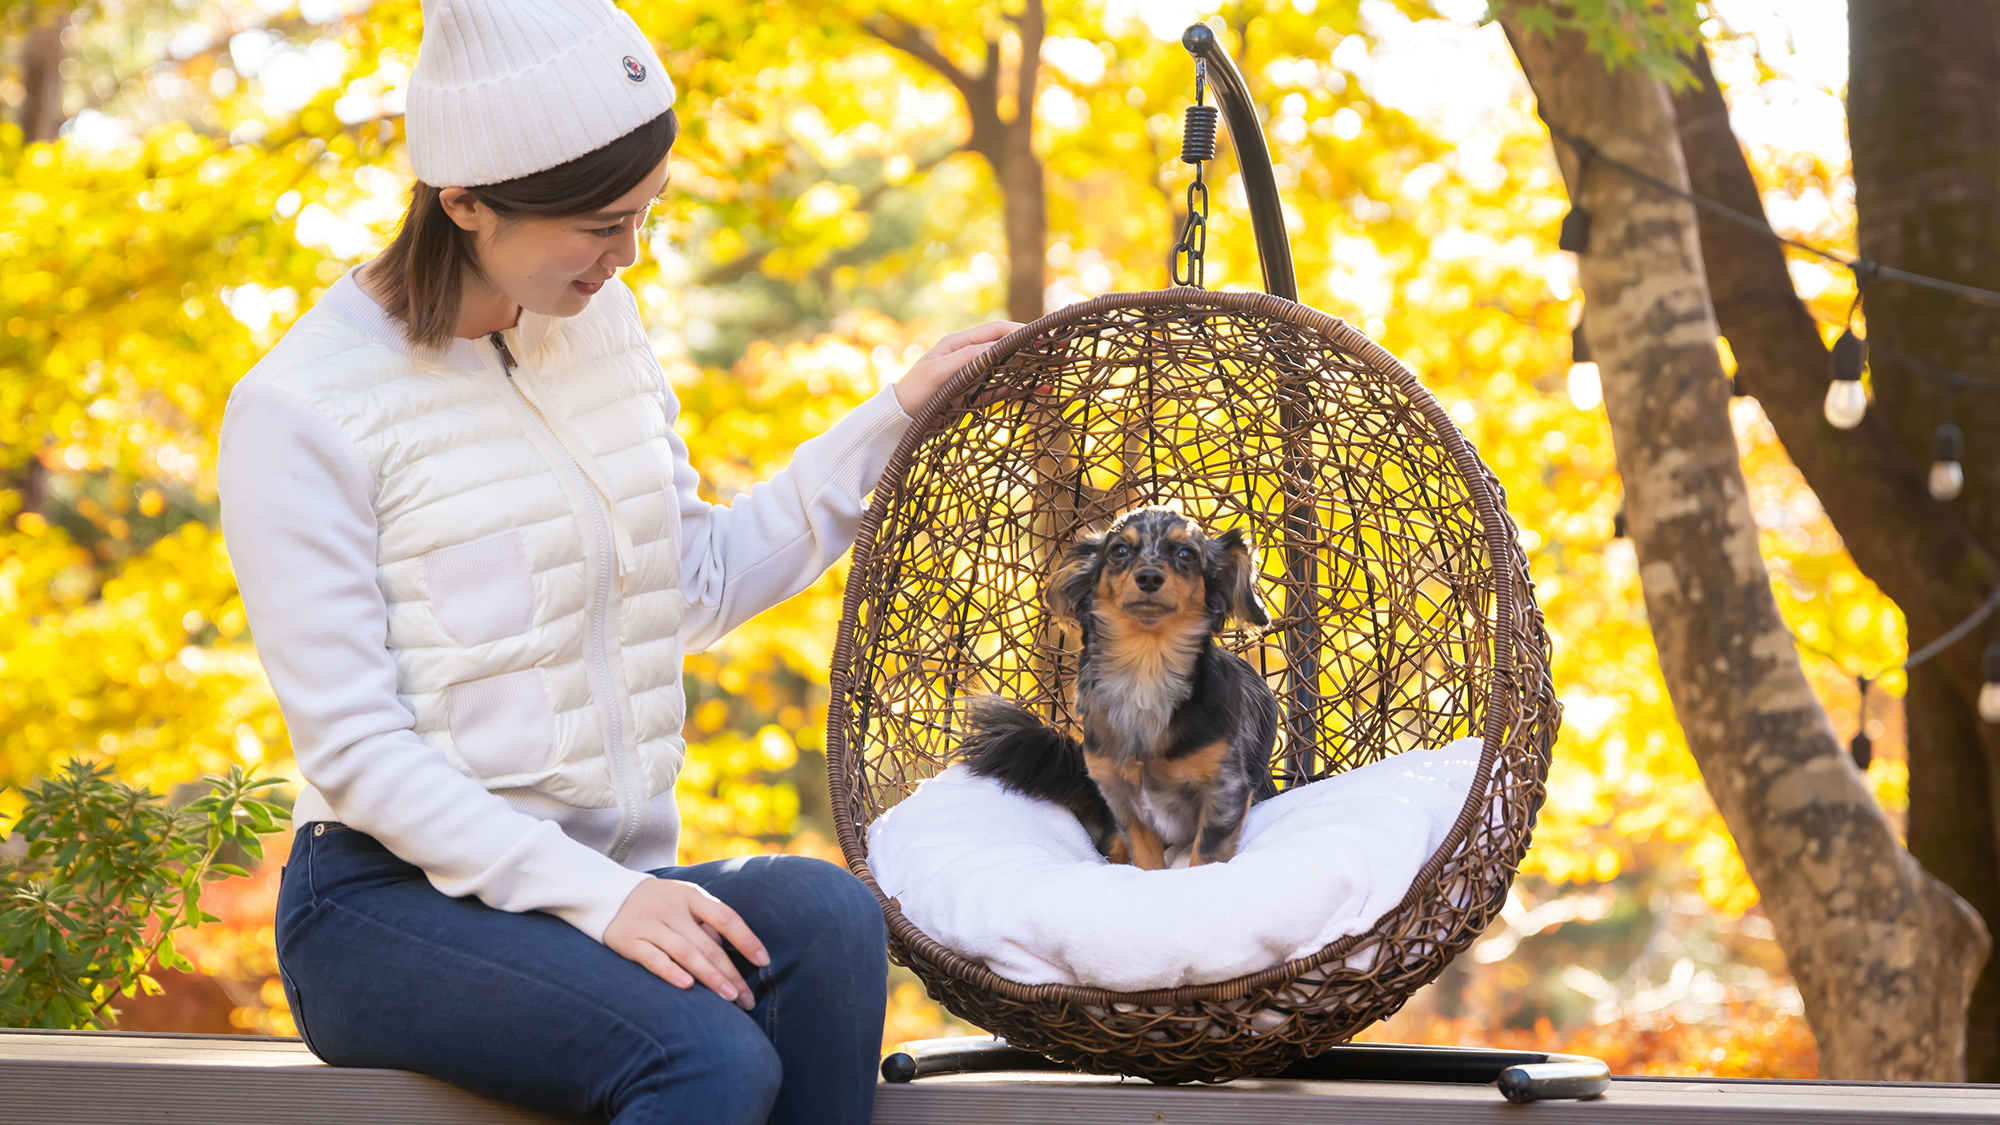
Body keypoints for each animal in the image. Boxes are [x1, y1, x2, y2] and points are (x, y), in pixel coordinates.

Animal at [956, 506, 1280, 868]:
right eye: (1120, 551)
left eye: (1187, 554)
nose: (1149, 577)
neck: (1145, 671)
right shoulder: (1124, 802)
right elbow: (1146, 863)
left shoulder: (1225, 793)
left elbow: (1203, 857)